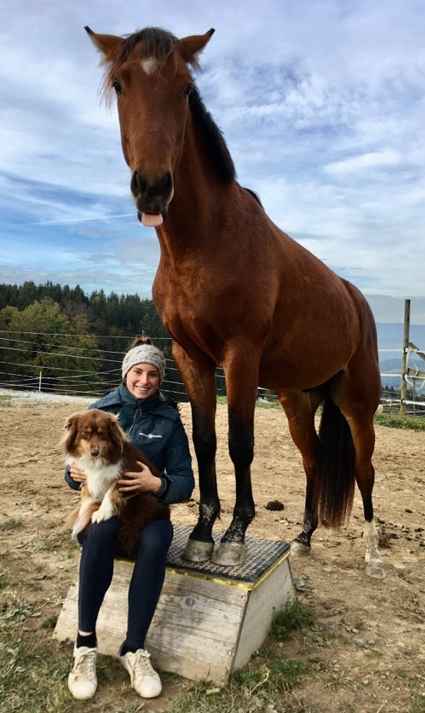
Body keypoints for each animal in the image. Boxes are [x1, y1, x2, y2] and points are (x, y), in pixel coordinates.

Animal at [62, 408, 170, 552]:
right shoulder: (86, 475)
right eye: (85, 433)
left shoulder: (127, 475)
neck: (99, 460)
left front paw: (101, 512)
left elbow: (110, 493)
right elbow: (86, 495)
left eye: (103, 434)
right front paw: (84, 511)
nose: (94, 452)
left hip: (144, 498)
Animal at [85, 25, 384, 580]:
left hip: (358, 403)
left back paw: (374, 555)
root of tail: (356, 301)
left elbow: (240, 443)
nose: (153, 187)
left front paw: (234, 536)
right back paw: (304, 538)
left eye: (185, 88)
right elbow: (204, 441)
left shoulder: (239, 357)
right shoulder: (192, 358)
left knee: (363, 468)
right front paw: (203, 533)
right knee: (313, 459)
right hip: (296, 399)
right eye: (119, 83)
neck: (207, 240)